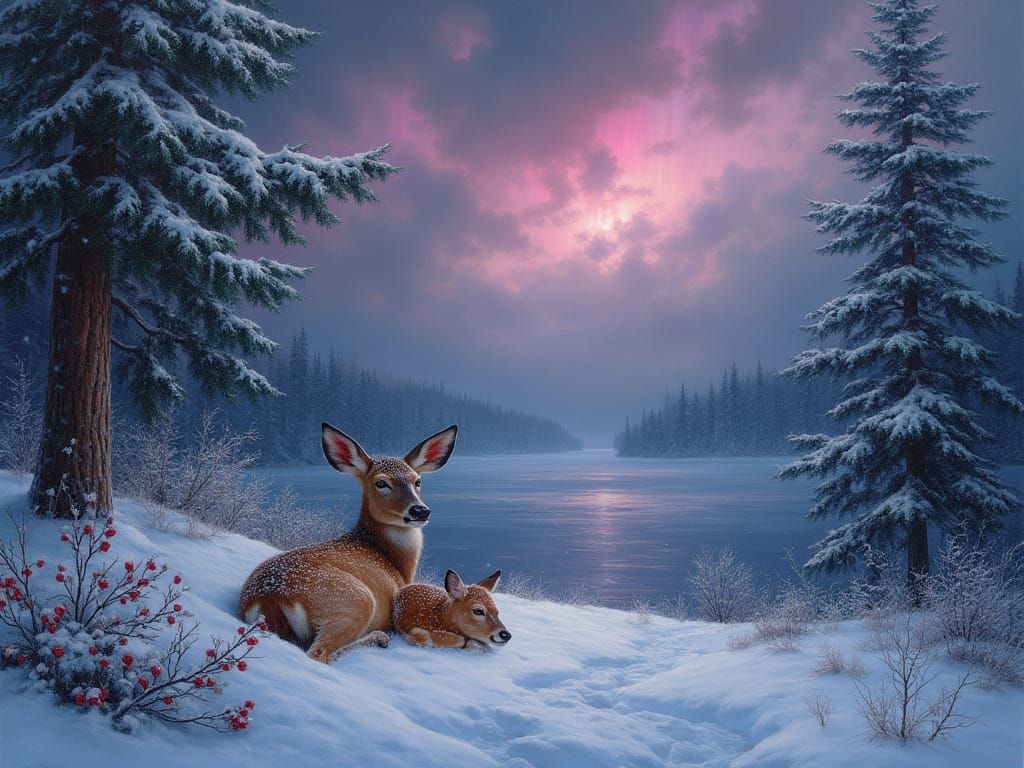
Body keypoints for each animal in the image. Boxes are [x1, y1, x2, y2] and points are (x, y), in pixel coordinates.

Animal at [239, 423, 458, 663]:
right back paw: (378, 638)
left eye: (417, 481)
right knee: (318, 653)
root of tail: (271, 597)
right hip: (354, 601)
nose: (420, 510)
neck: (391, 560)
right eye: (381, 483)